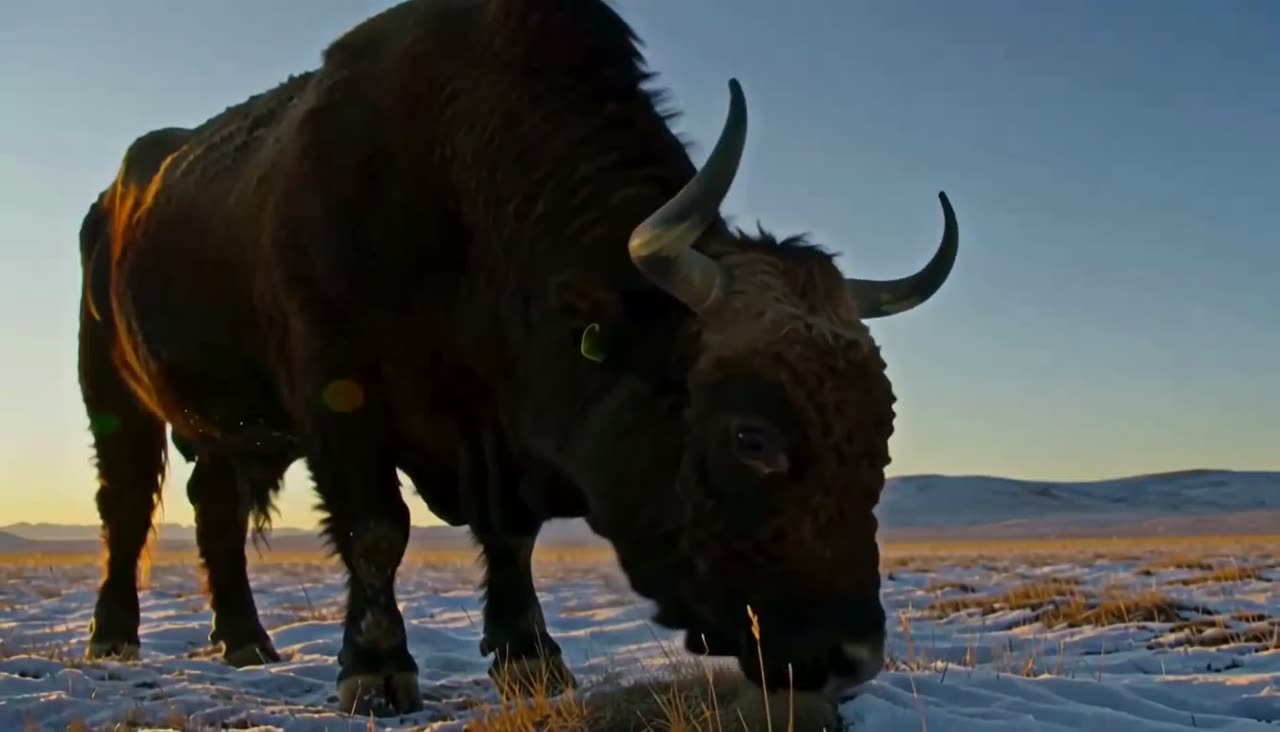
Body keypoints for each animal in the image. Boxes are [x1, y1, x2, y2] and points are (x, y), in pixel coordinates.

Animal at [76, 0, 959, 716]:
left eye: (880, 433)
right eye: (751, 436)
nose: (851, 659)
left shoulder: (497, 431)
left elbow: (512, 538)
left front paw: (532, 658)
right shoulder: (338, 392)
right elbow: (376, 529)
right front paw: (377, 670)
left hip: (227, 431)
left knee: (214, 508)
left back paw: (248, 643)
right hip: (113, 395)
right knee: (126, 508)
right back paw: (114, 639)